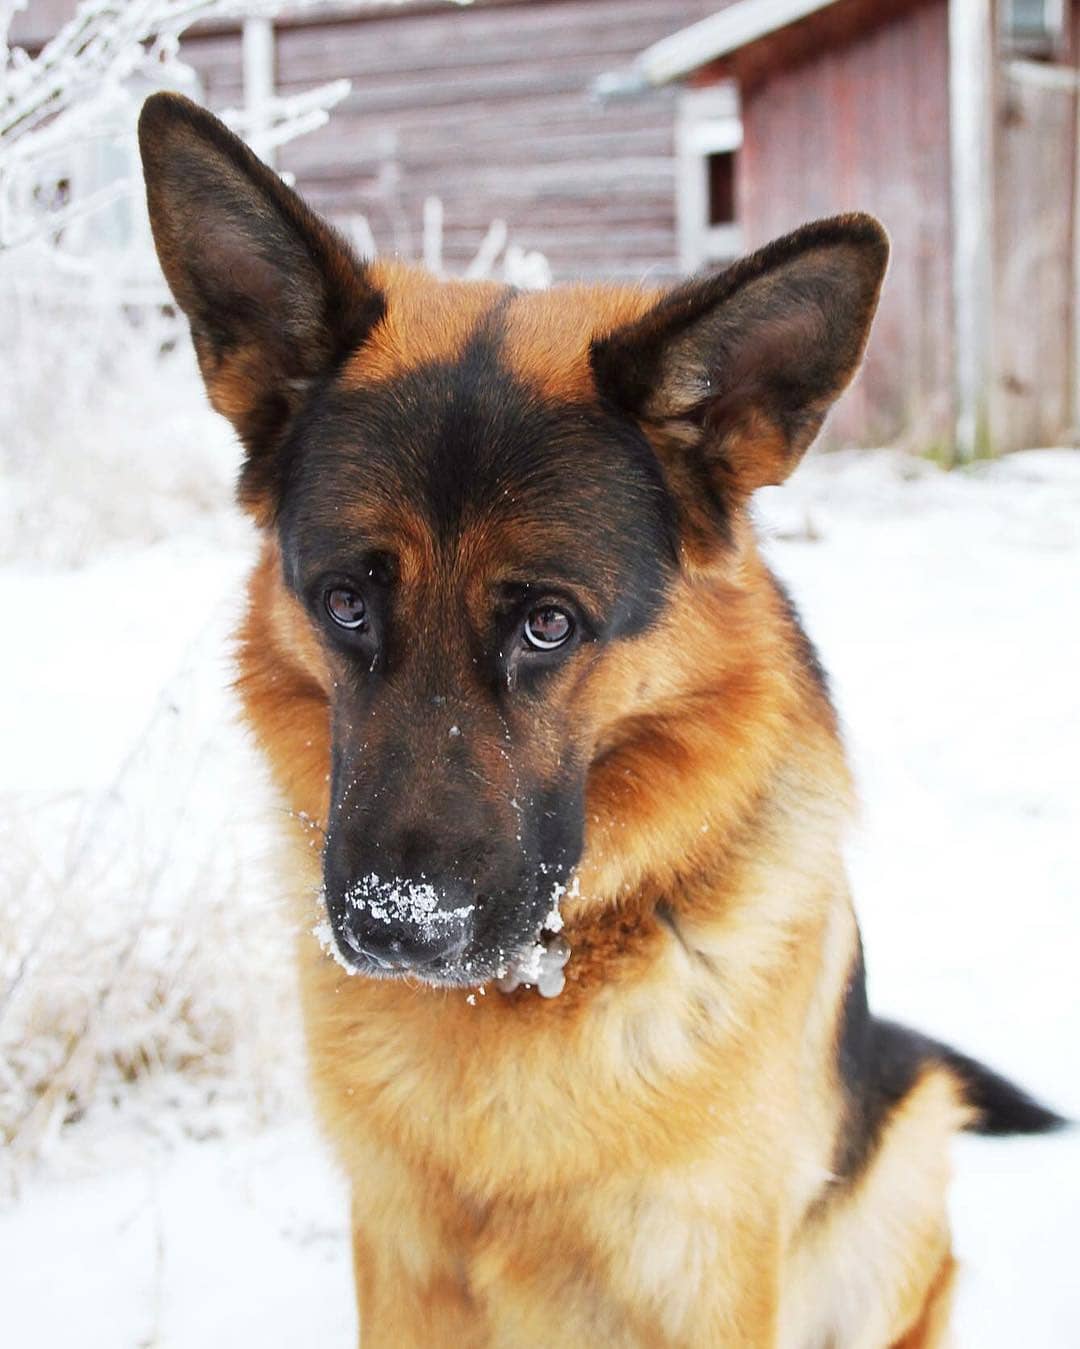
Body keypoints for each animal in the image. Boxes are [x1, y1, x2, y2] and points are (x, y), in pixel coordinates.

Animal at [138, 95, 1057, 1349]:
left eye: (547, 624)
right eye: (343, 603)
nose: (396, 927)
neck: (525, 992)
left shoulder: (708, 1278)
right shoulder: (401, 1264)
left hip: (899, 1172)